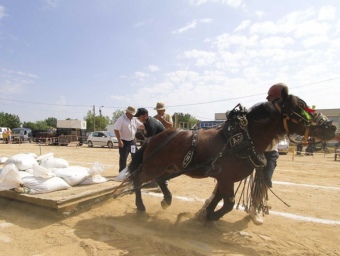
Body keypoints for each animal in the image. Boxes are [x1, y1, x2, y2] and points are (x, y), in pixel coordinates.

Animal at [115, 90, 338, 222]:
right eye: (300, 107)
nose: (332, 127)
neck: (243, 138)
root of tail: (152, 139)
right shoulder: (226, 178)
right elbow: (228, 203)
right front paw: (211, 217)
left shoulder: (224, 178)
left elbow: (220, 198)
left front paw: (207, 214)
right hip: (153, 166)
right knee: (138, 179)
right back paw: (141, 206)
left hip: (170, 167)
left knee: (161, 181)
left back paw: (166, 201)